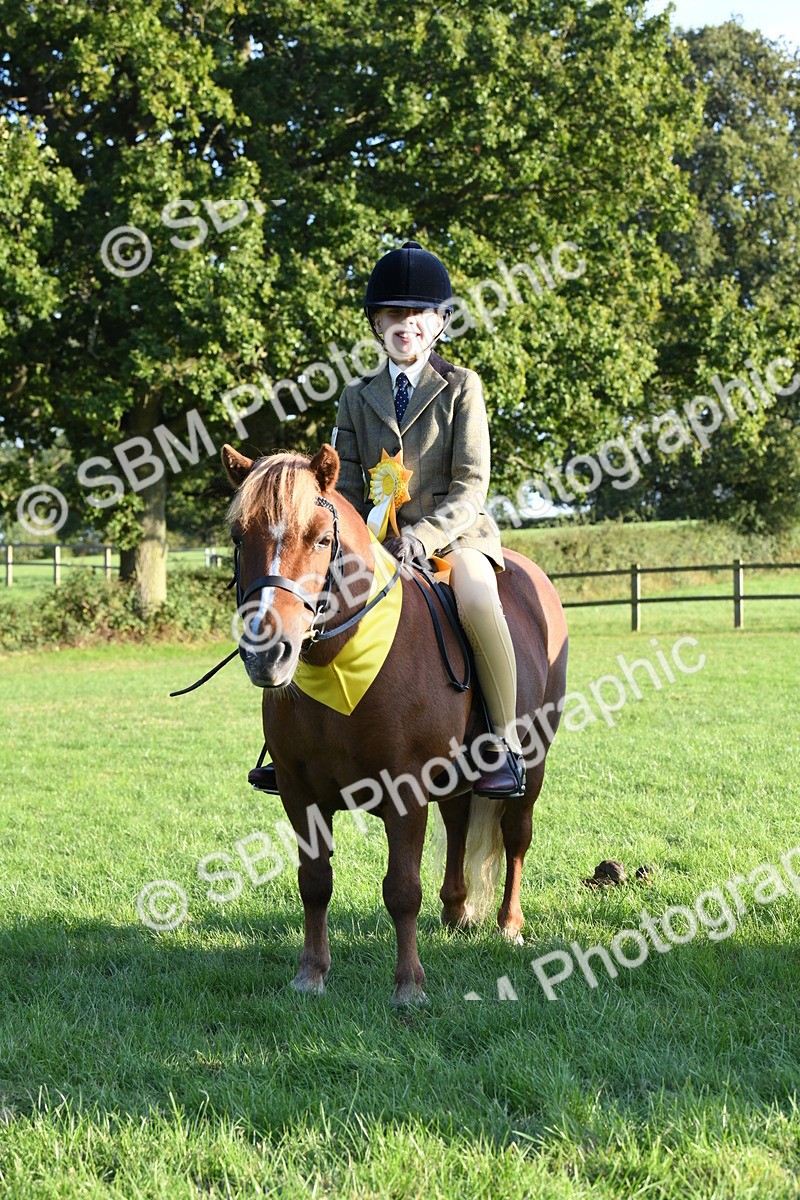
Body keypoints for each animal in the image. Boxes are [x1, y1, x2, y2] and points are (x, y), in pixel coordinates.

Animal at [222, 442, 568, 1005]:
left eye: (321, 539)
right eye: (238, 536)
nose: (268, 654)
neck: (341, 666)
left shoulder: (404, 792)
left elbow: (402, 890)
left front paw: (409, 986)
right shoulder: (299, 793)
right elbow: (314, 881)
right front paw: (310, 974)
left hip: (534, 757)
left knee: (517, 835)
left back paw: (509, 924)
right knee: (457, 816)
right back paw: (455, 909)